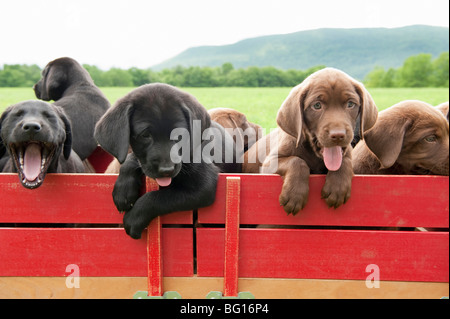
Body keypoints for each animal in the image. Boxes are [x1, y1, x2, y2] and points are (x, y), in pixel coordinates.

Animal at [95, 84, 239, 239]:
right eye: (145, 135)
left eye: (180, 135)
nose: (166, 170)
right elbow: (131, 159)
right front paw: (123, 191)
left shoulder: (204, 186)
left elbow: (159, 197)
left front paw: (133, 219)